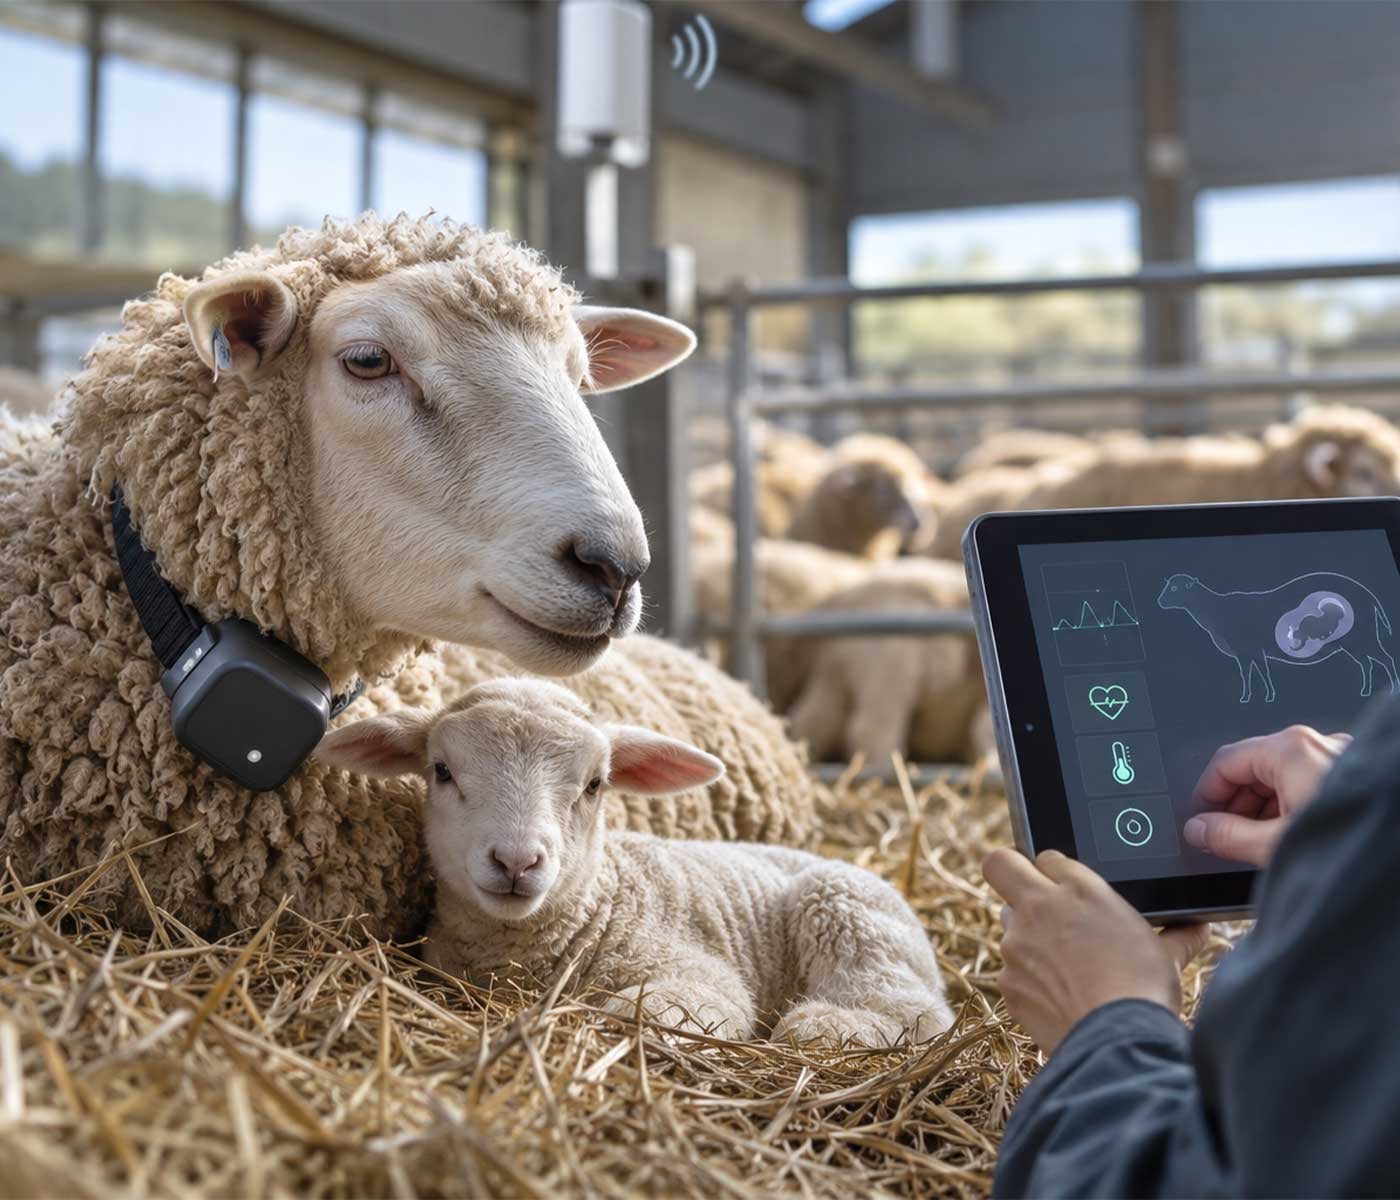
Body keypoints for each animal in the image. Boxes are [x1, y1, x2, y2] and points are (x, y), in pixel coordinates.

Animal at [315, 677, 954, 1046]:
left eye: (595, 784)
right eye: (442, 771)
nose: (518, 861)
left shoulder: (699, 973)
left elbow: (648, 1006)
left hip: (850, 917)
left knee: (917, 1011)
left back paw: (826, 1025)